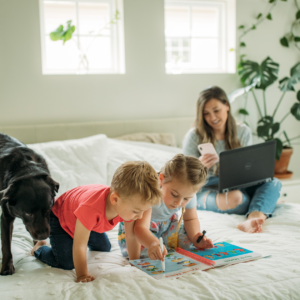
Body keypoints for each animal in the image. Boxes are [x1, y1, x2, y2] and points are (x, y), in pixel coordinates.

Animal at [0, 133, 59, 274]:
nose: (43, 235)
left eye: (48, 209)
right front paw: (7, 267)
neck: (27, 170)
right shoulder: (6, 216)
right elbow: (6, 243)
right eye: (28, 213)